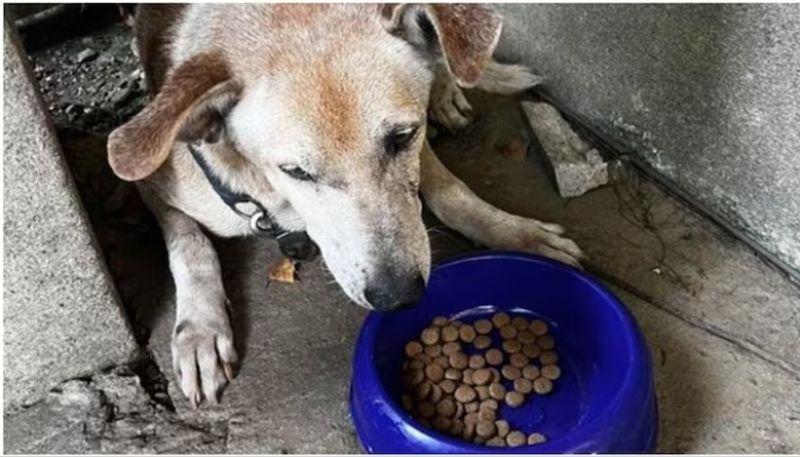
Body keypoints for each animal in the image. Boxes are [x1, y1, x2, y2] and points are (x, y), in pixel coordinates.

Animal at [108, 3, 580, 408]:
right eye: (295, 170)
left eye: (402, 137)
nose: (398, 297)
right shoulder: (151, 185)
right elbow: (191, 247)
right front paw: (200, 331)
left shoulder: (420, 145)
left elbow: (450, 190)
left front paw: (516, 232)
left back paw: (447, 85)